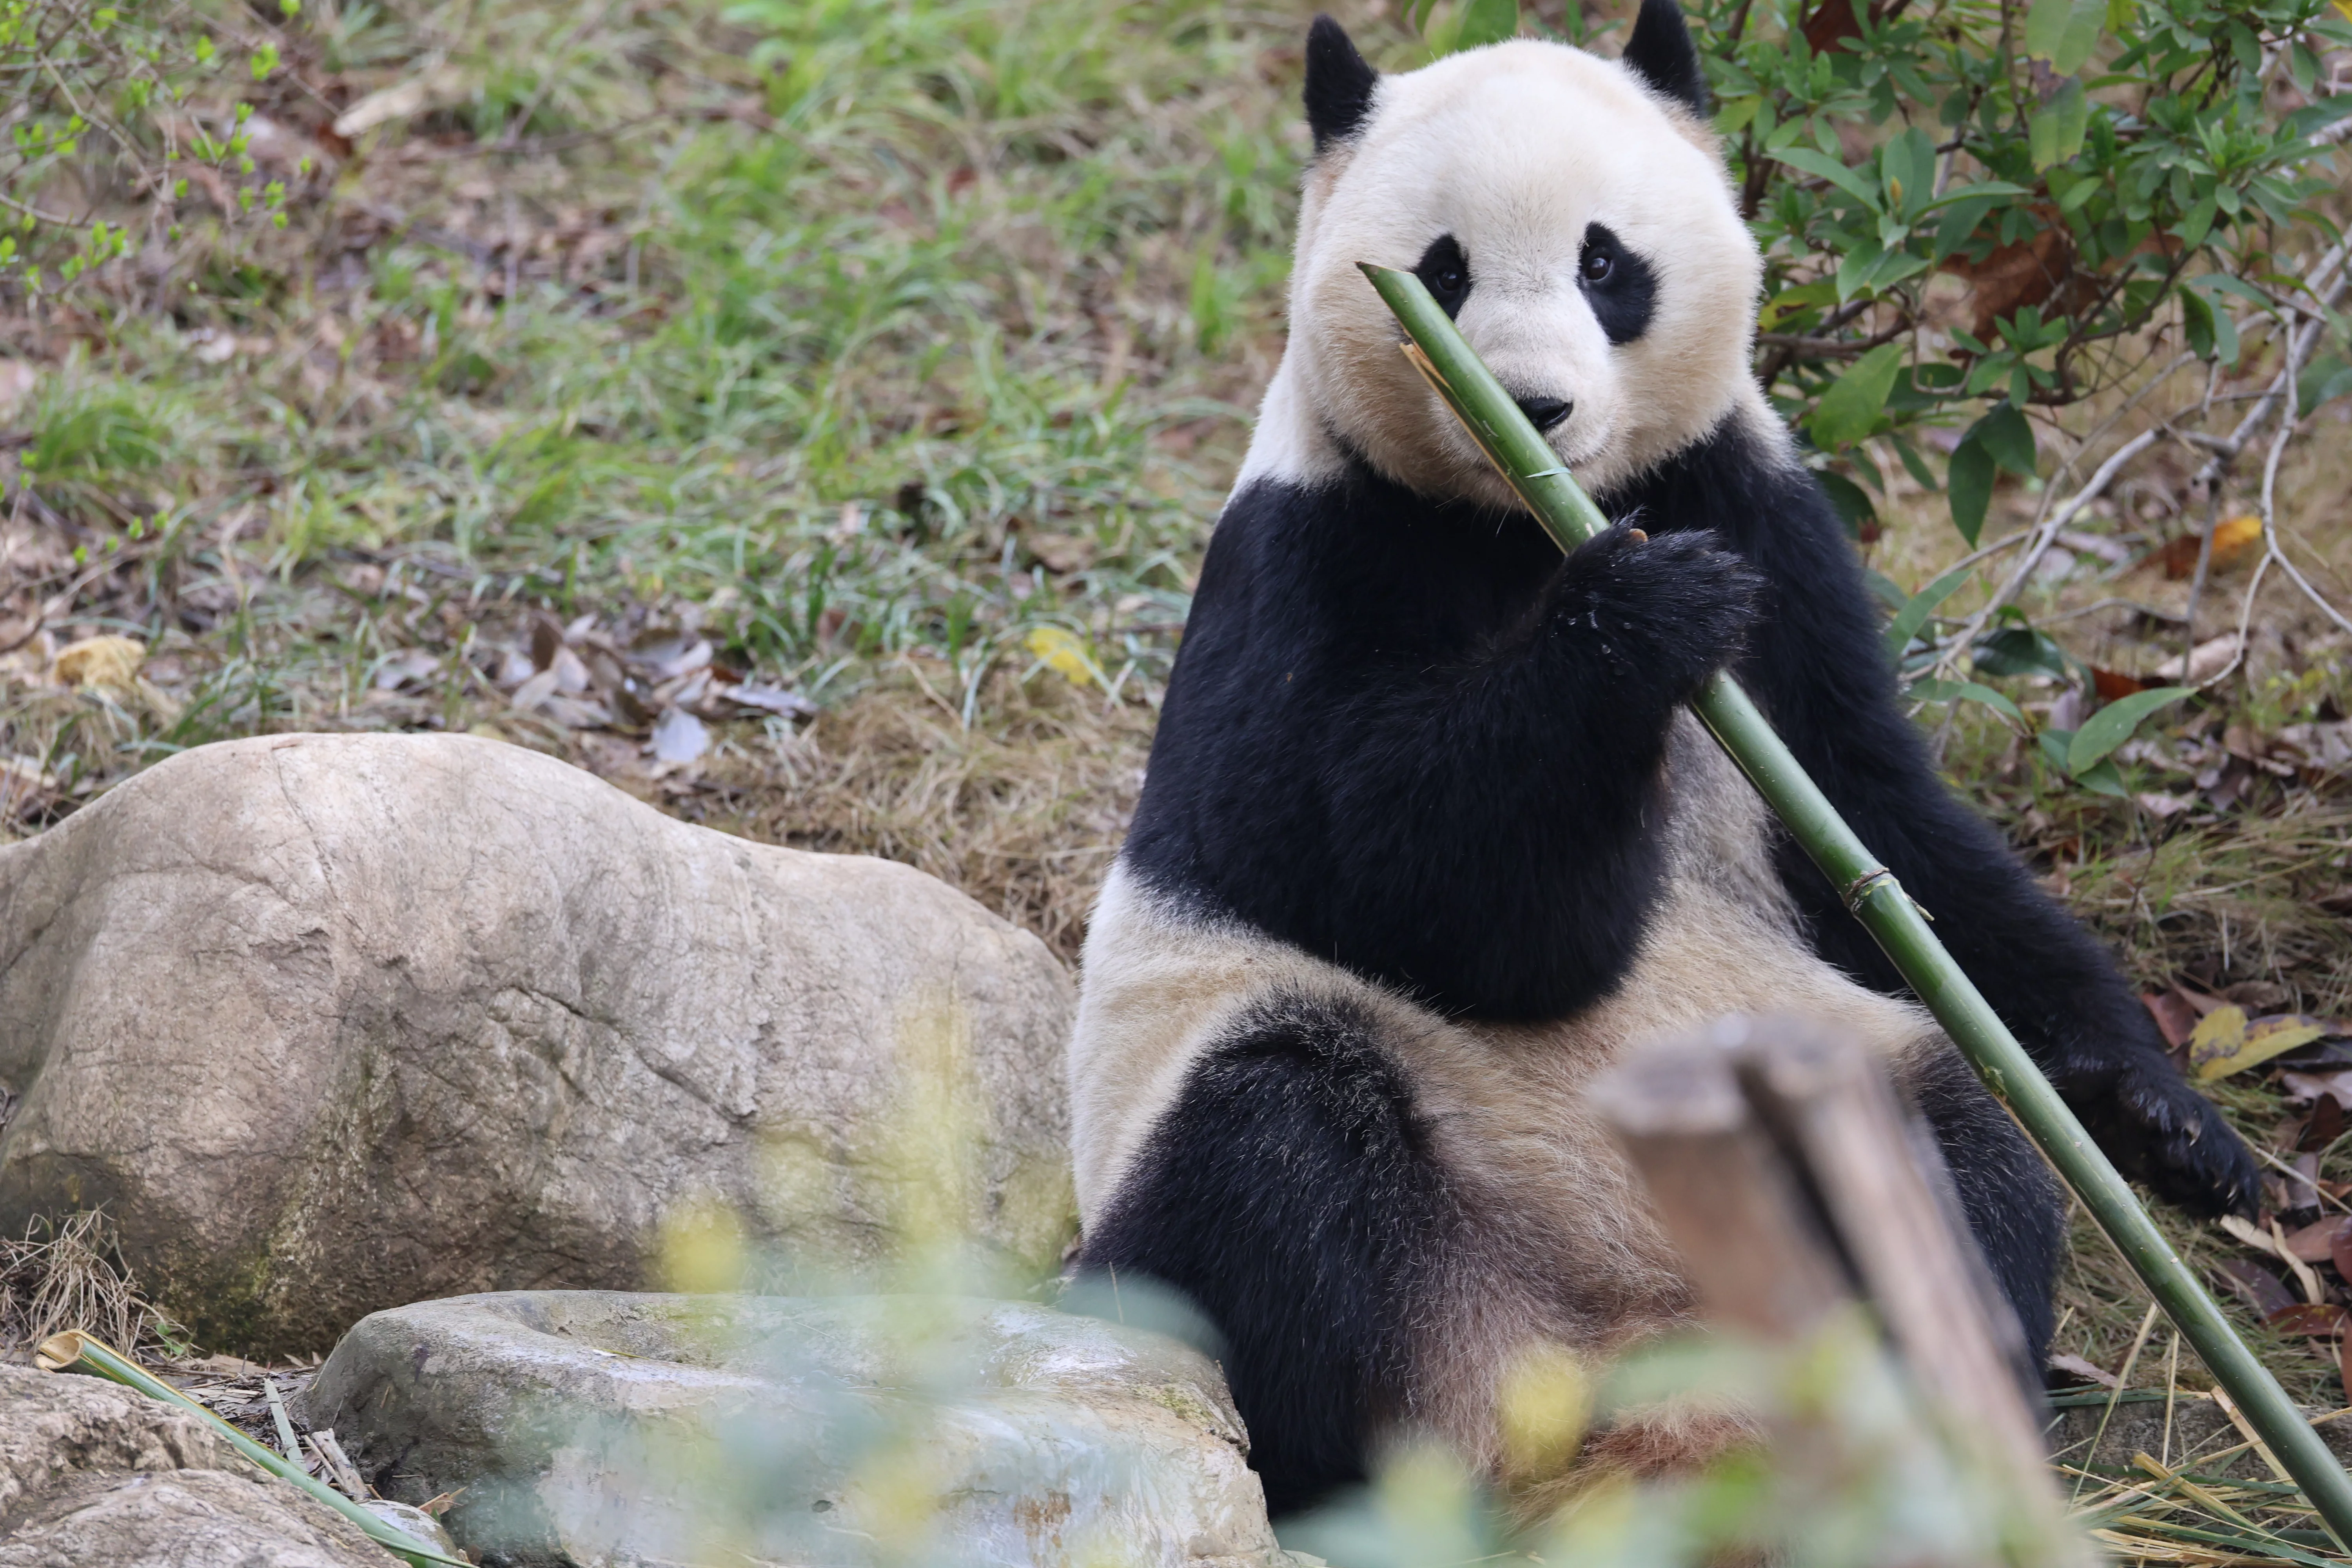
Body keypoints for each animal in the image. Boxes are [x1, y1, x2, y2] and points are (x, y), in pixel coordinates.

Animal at [1070, 1, 2260, 1517]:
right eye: (1443, 271)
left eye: (1604, 261)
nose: (1531, 406)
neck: (1525, 517)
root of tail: (1609, 1383)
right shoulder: (1302, 550)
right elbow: (1379, 872)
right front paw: (1635, 622)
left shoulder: (1764, 517)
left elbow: (1887, 823)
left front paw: (2167, 1122)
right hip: (1272, 1171)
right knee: (1273, 1157)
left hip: (1832, 1078)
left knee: (1966, 1177)